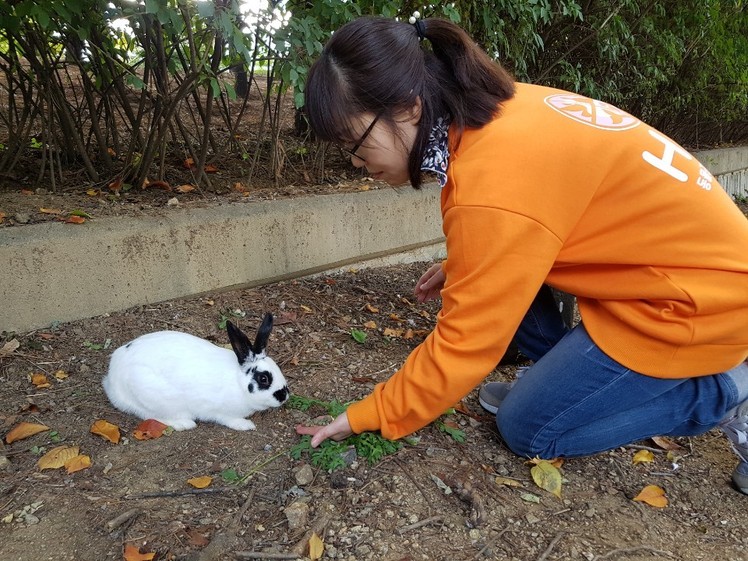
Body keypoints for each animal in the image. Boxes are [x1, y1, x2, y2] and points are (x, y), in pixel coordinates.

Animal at [103, 316, 290, 428]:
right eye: (264, 378)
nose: (284, 396)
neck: (238, 383)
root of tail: (112, 379)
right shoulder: (218, 411)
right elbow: (229, 420)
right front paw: (246, 426)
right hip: (155, 398)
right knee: (152, 415)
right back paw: (185, 424)